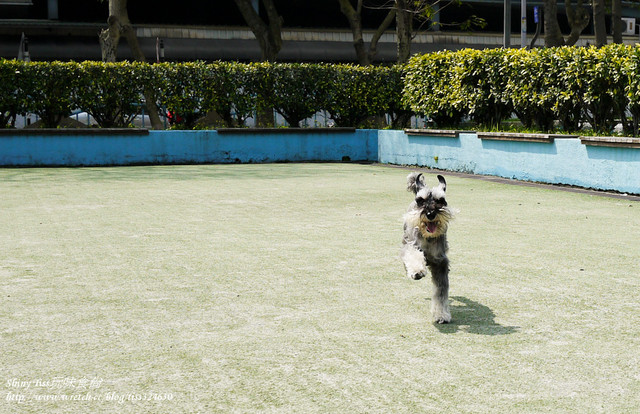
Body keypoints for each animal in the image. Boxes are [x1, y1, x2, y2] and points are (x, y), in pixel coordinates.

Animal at [400, 171, 456, 324]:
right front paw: (417, 271)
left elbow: (440, 292)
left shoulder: (440, 262)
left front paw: (441, 314)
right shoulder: (411, 245)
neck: (428, 237)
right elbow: (413, 255)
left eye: (440, 200)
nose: (430, 214)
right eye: (421, 200)